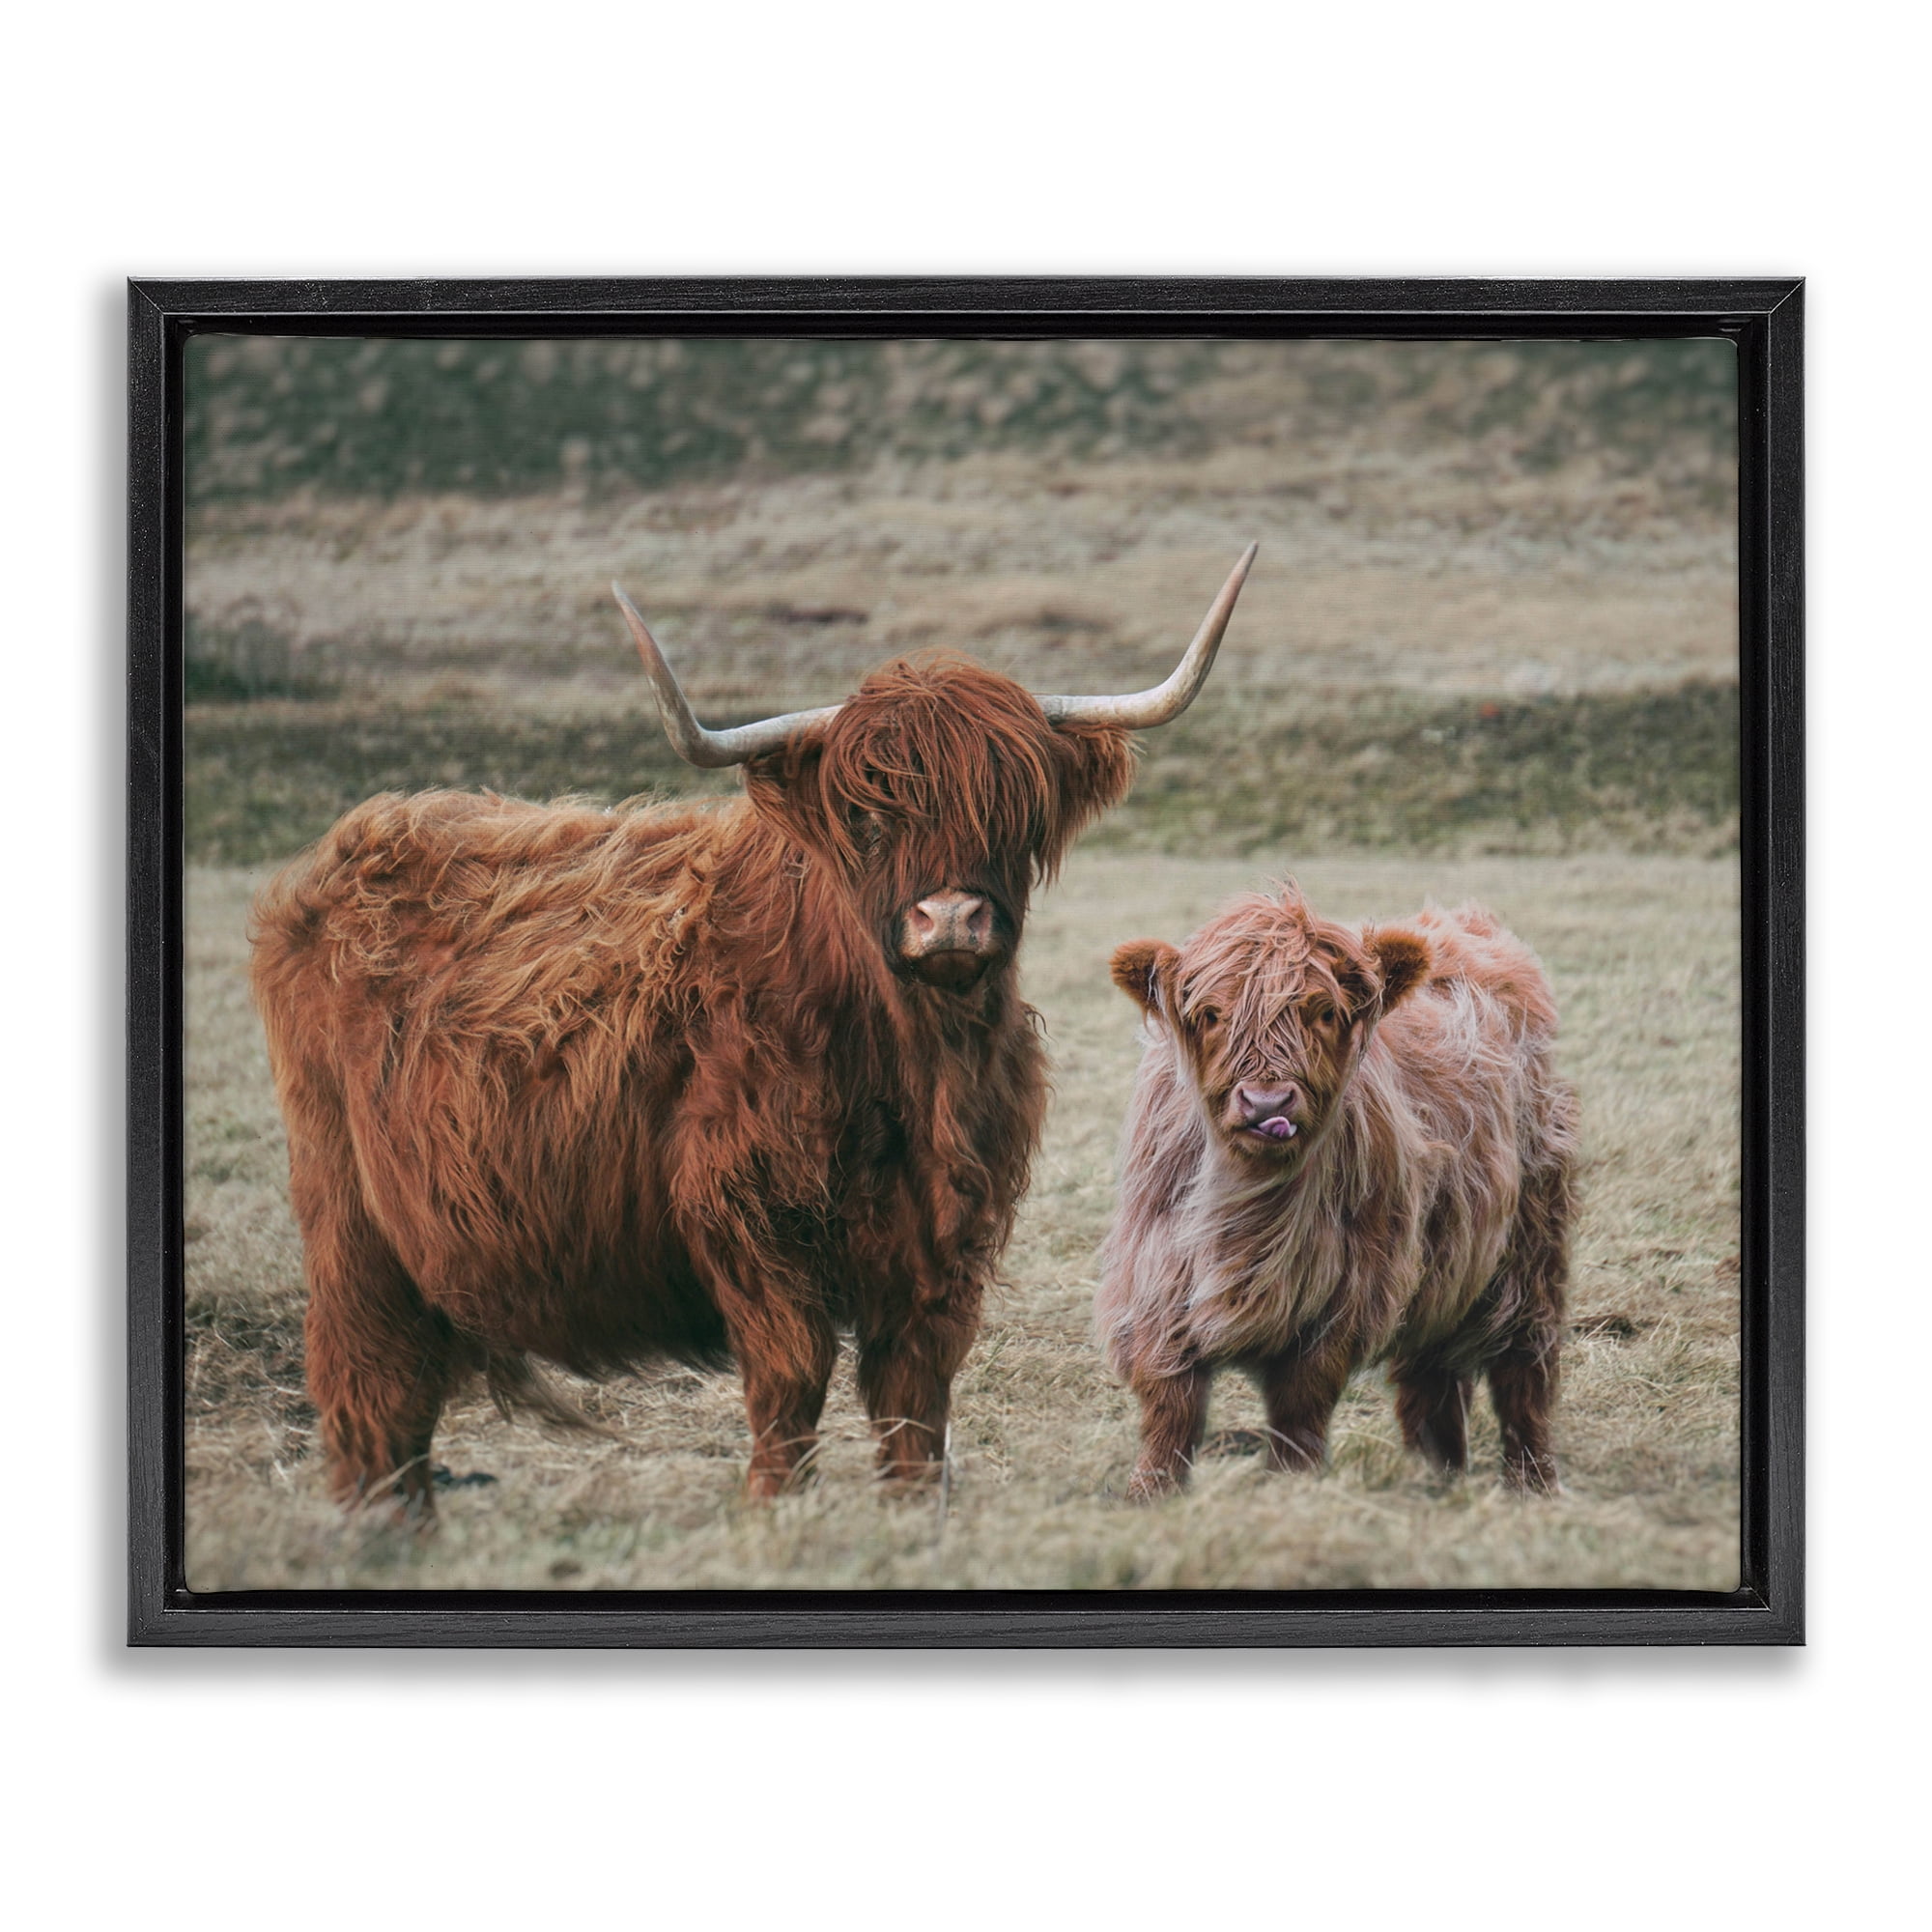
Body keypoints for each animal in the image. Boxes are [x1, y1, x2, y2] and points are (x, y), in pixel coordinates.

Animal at [250, 546, 1258, 1515]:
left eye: (1017, 810)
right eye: (866, 814)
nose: (950, 920)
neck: (910, 1067)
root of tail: (355, 840)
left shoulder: (947, 1235)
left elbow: (915, 1393)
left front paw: (913, 1510)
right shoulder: (748, 1213)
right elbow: (791, 1376)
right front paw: (775, 1509)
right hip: (347, 1212)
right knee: (370, 1382)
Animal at [1096, 881, 1576, 1499]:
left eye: (1324, 1011)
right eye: (1210, 1014)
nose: (1267, 1105)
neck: (1251, 1208)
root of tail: (1463, 923)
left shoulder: (1344, 1295)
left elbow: (1300, 1405)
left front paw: (1289, 1486)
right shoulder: (1156, 1279)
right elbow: (1169, 1404)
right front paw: (1150, 1493)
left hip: (1531, 1244)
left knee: (1524, 1367)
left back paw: (1531, 1483)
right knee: (1432, 1374)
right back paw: (1436, 1475)